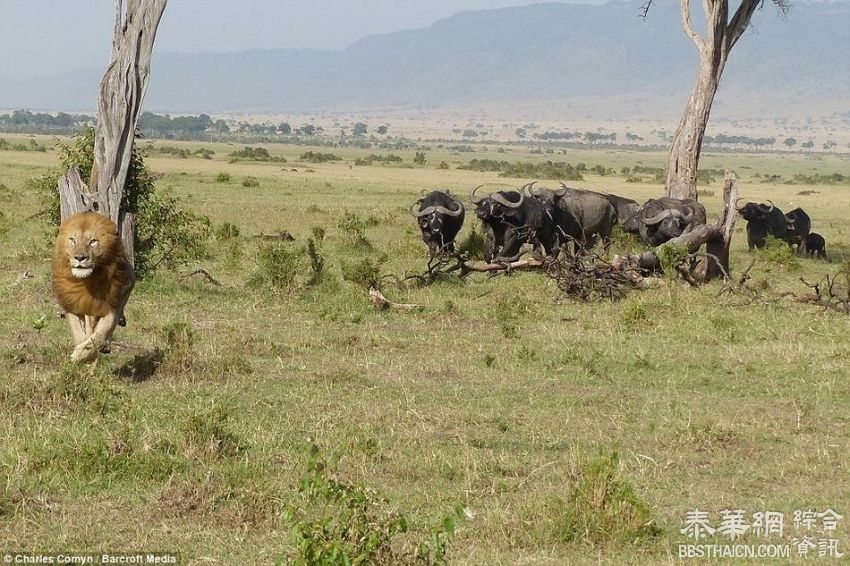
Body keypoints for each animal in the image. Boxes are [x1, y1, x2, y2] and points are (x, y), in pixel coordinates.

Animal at [52, 212, 134, 364]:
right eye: (73, 240)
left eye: (93, 241)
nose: (79, 257)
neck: (87, 281)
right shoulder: (71, 306)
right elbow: (79, 334)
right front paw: (79, 353)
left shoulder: (111, 308)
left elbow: (100, 335)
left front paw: (82, 354)